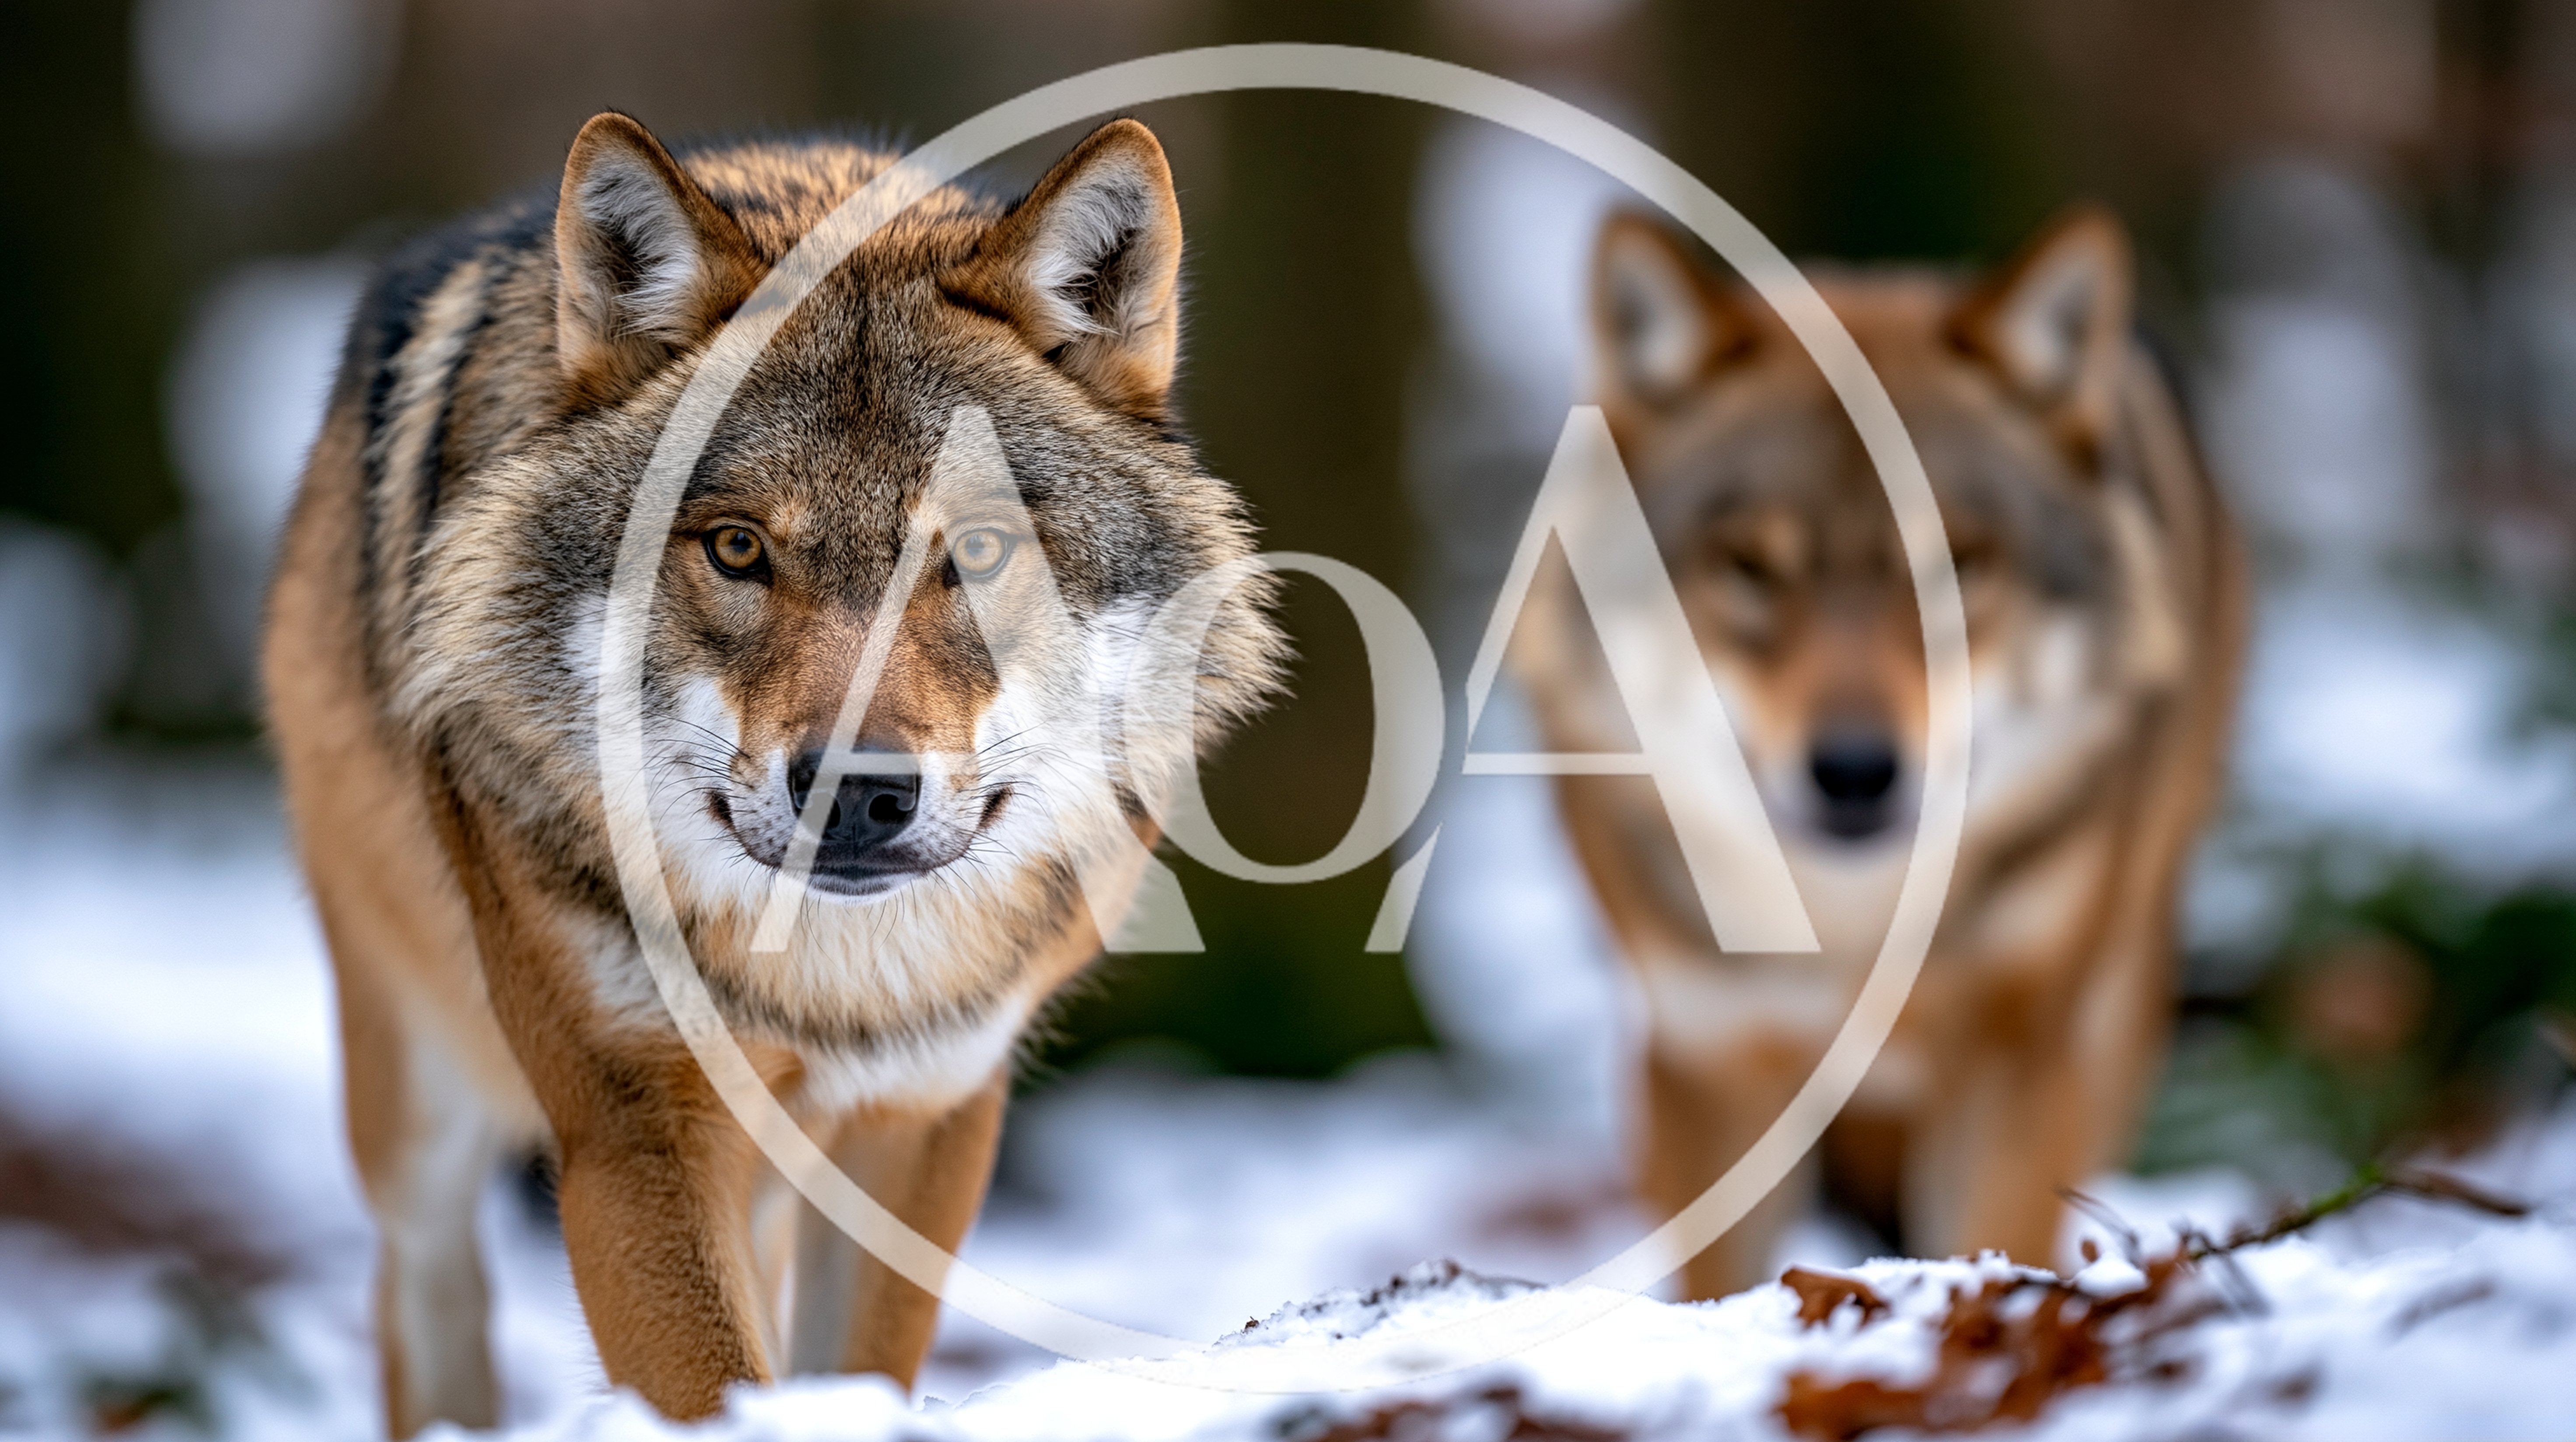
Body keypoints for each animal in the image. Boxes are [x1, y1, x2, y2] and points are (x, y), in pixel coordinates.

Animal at [263, 111, 1283, 1433]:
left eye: (981, 548)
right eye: (739, 548)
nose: (857, 789)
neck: (832, 984)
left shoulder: (926, 1112)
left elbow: (853, 1366)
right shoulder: (634, 1126)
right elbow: (711, 1381)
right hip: (412, 1096)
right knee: (425, 1292)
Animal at [1515, 207, 2246, 1298]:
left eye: (1960, 565)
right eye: (1749, 567)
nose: (1856, 770)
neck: (1851, 933)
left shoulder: (2019, 1058)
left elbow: (1992, 1238)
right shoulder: (1706, 1062)